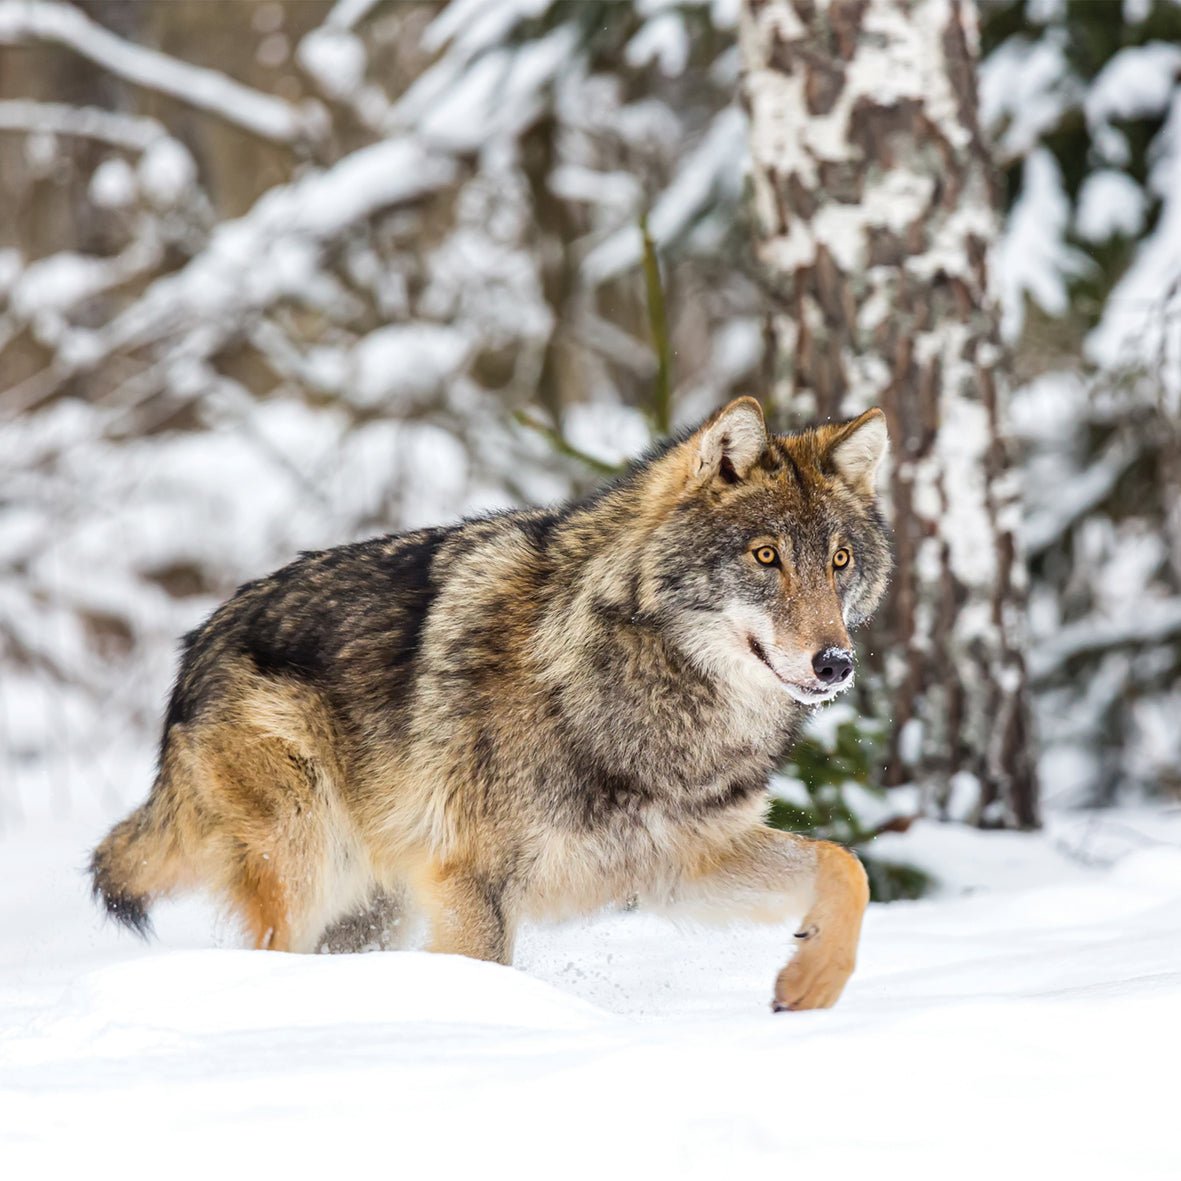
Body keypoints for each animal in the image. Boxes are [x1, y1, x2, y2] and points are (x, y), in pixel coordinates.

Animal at [90, 397, 891, 1011]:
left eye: (839, 560)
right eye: (765, 556)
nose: (835, 663)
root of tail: (196, 645)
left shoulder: (682, 865)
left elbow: (846, 865)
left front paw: (814, 982)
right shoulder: (473, 882)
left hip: (372, 906)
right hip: (306, 863)